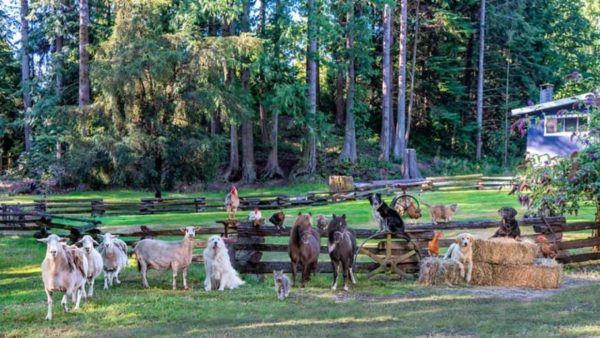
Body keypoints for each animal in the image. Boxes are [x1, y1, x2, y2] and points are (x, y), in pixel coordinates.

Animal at [420, 235, 560, 288]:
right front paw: (462, 274)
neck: (464, 252)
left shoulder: (470, 262)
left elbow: (469, 269)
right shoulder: (456, 260)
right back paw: (442, 259)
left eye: (468, 238)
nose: (465, 243)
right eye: (463, 238)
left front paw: (468, 277)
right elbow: (460, 265)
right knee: (446, 257)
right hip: (450, 248)